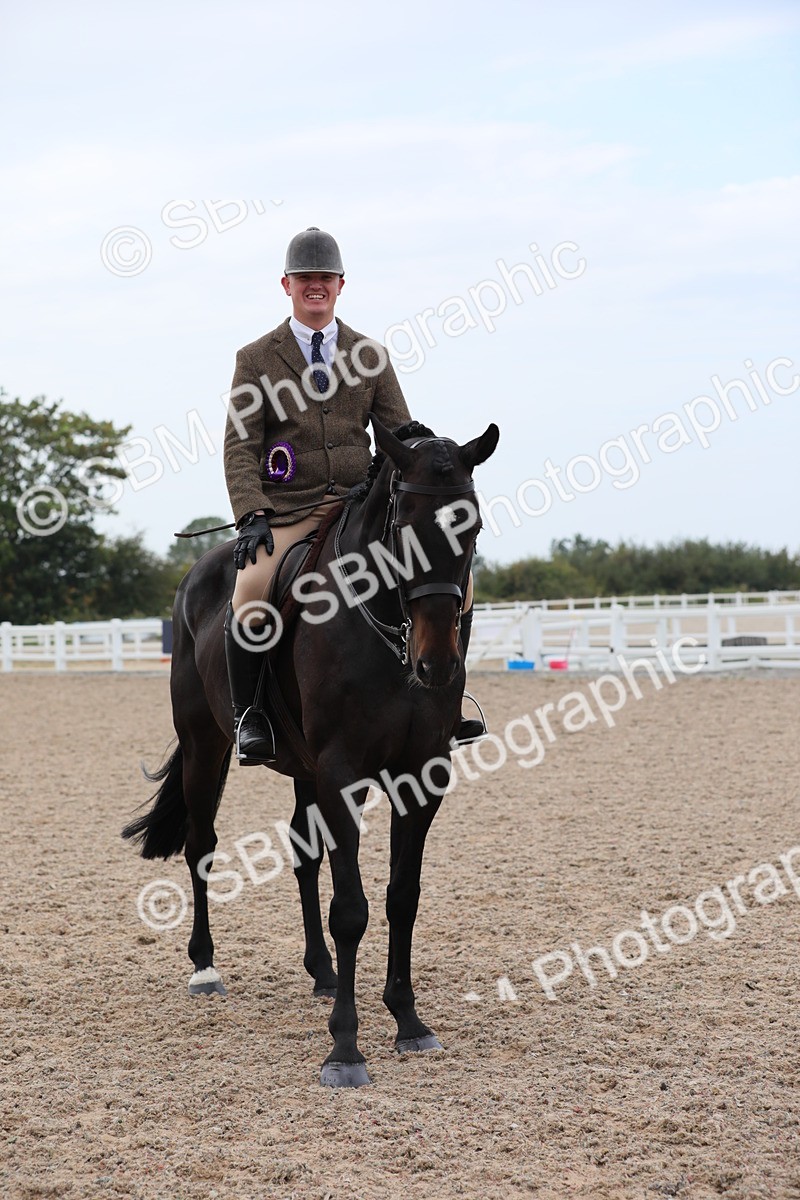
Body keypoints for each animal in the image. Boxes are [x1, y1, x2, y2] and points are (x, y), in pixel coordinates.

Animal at [123, 416, 499, 1087]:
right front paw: (345, 1049)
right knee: (201, 844)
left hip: (302, 767)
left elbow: (402, 896)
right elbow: (350, 908)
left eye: (472, 526)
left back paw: (322, 972)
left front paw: (408, 1021)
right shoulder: (342, 773)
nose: (434, 664)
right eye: (403, 525)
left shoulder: (421, 774)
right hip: (206, 745)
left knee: (304, 855)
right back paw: (205, 968)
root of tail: (198, 573)